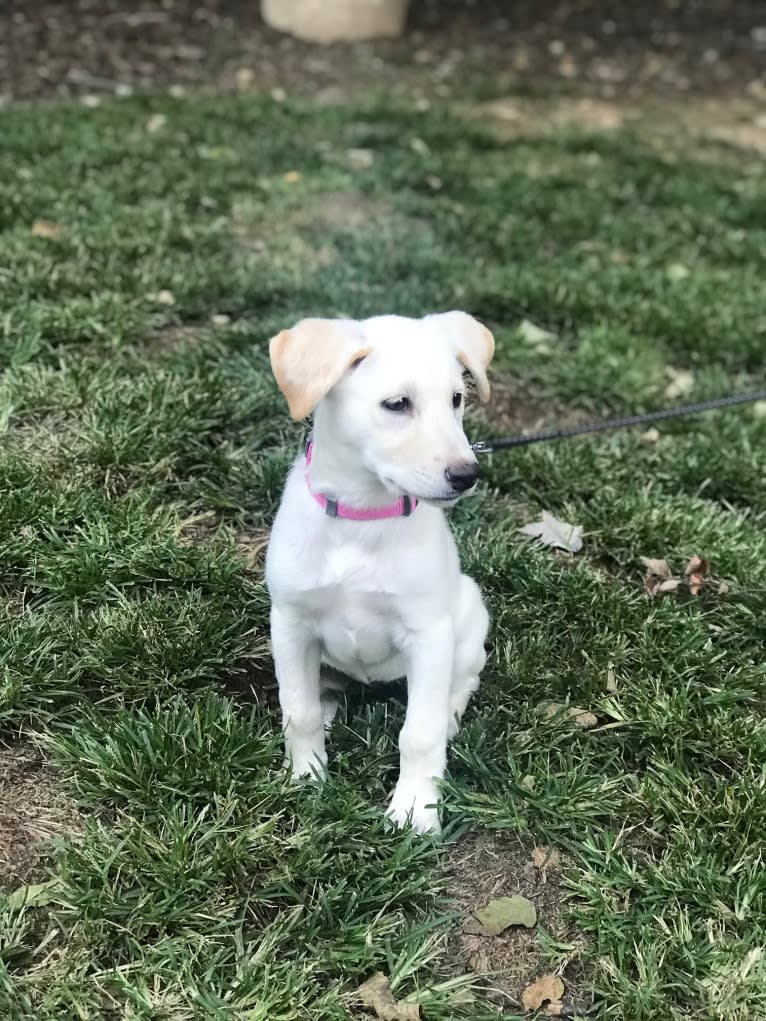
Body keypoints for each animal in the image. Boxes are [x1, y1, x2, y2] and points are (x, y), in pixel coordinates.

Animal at [263, 312, 494, 837]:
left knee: (464, 679)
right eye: (397, 404)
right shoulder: (289, 622)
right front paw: (305, 778)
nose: (467, 475)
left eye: (457, 398)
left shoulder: (428, 634)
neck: (361, 519)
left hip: (470, 615)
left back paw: (451, 714)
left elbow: (420, 734)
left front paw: (415, 809)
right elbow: (299, 711)